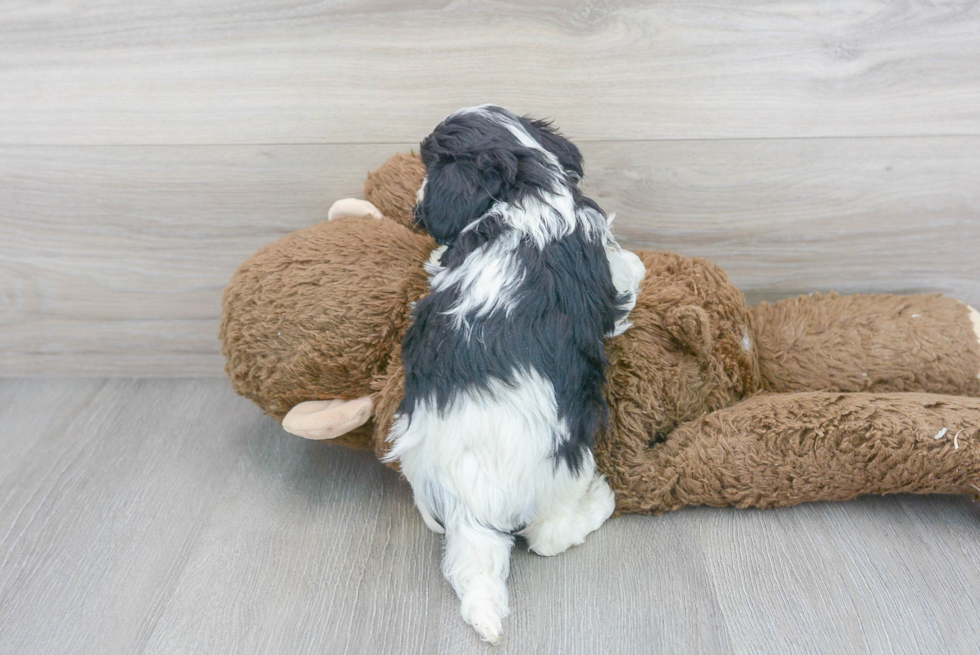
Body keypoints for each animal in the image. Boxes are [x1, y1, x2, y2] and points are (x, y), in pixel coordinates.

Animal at [386, 105, 648, 644]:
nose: (417, 207)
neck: (528, 187)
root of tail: (472, 505)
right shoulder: (605, 261)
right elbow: (628, 270)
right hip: (567, 465)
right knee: (549, 536)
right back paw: (601, 500)